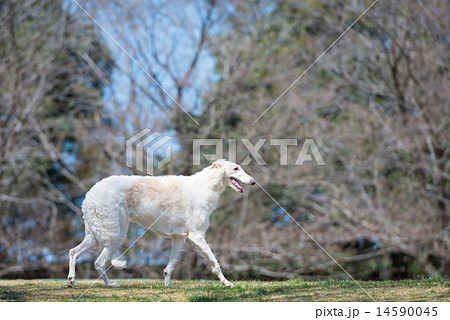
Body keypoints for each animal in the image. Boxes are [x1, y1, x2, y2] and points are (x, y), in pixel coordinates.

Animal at [68, 159, 255, 288]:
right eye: (236, 168)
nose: (253, 181)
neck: (205, 186)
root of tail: (90, 194)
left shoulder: (179, 237)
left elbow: (169, 267)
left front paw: (167, 285)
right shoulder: (197, 236)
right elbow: (215, 263)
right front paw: (227, 283)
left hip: (95, 236)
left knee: (73, 252)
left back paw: (71, 280)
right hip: (115, 234)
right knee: (99, 263)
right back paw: (110, 284)